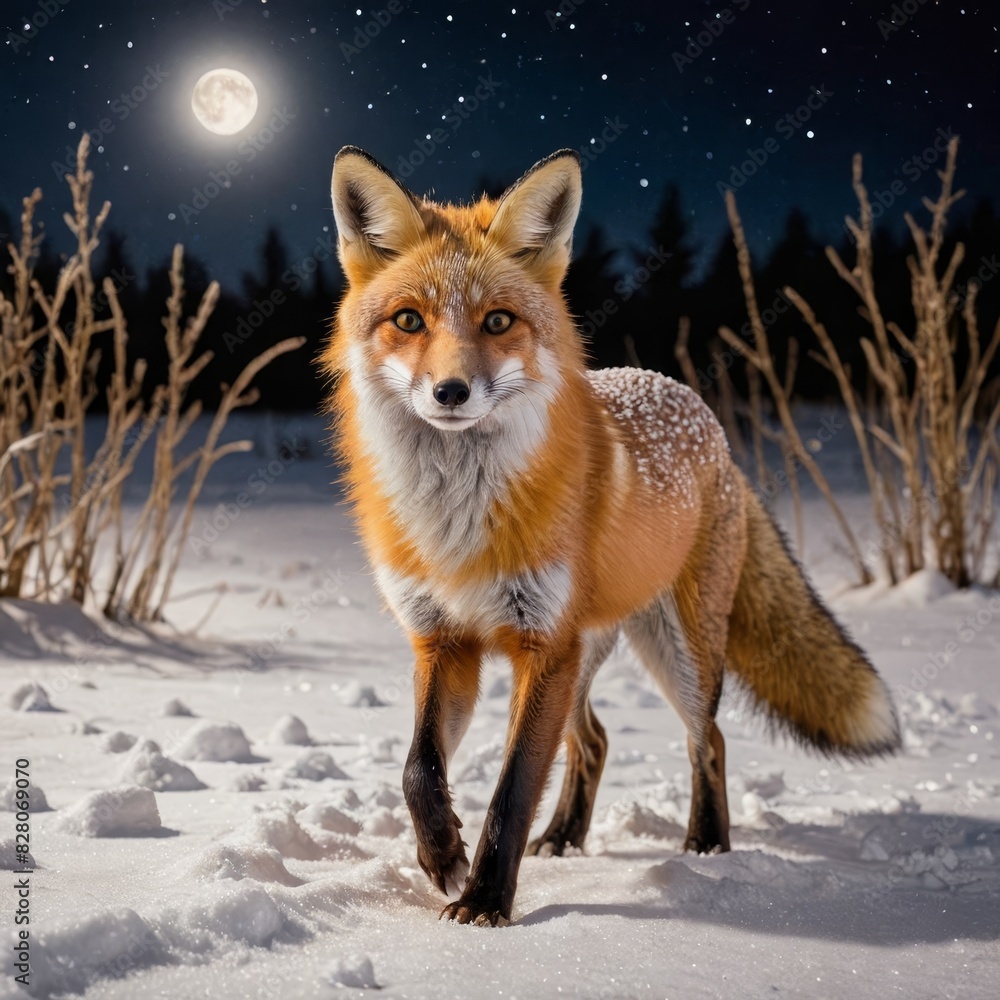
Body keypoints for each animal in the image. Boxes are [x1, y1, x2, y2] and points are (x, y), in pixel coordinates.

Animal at [323, 145, 901, 927]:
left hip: (675, 653)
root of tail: (702, 415)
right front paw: (442, 858)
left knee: (708, 739)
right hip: (583, 659)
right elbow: (418, 767)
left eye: (498, 320)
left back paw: (707, 846)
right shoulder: (445, 641)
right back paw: (566, 837)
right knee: (593, 742)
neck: (459, 525)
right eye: (408, 320)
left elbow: (510, 791)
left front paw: (484, 903)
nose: (450, 392)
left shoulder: (541, 644)